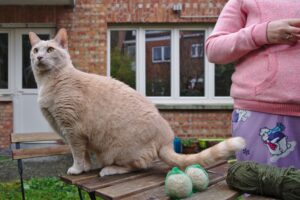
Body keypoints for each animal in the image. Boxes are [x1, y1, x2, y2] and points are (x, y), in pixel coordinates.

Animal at [28, 28, 245, 177]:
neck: (49, 82)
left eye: (50, 49)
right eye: (35, 50)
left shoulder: (72, 130)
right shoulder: (75, 134)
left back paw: (109, 169)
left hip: (118, 148)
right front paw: (86, 168)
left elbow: (78, 154)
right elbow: (85, 154)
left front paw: (77, 169)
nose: (39, 57)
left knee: (137, 165)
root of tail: (166, 137)